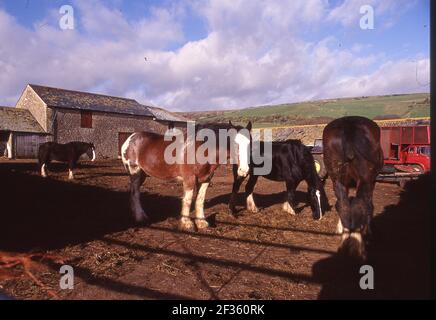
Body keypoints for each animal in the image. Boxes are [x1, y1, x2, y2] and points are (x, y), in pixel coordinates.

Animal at [122, 122, 252, 230]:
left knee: (133, 192)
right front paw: (186, 223)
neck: (201, 149)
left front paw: (201, 222)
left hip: (142, 174)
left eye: (250, 144)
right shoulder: (189, 178)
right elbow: (188, 200)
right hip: (135, 172)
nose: (244, 170)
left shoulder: (206, 179)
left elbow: (200, 199)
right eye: (234, 143)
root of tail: (130, 139)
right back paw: (140, 217)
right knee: (135, 193)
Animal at [322, 116, 384, 262]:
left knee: (343, 204)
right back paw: (358, 246)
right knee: (360, 204)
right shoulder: (371, 182)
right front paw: (367, 230)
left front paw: (340, 227)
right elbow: (369, 205)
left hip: (337, 178)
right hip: (365, 179)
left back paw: (345, 241)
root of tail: (348, 126)